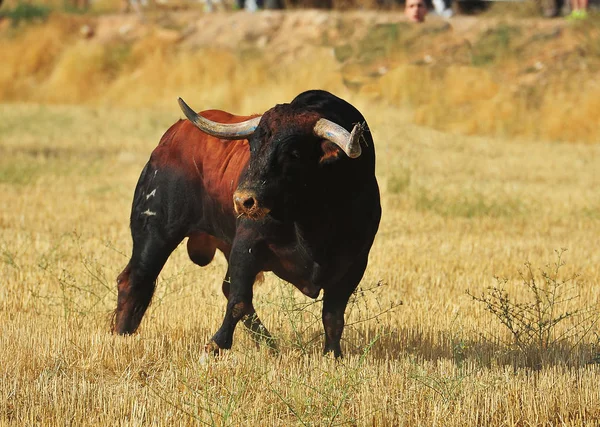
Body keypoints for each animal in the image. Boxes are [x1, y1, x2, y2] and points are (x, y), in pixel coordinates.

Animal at [113, 89, 380, 358]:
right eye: (253, 147)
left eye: (293, 154)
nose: (242, 201)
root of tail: (172, 136)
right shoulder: (246, 247)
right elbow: (238, 300)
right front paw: (215, 345)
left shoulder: (355, 264)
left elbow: (333, 315)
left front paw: (333, 354)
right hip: (154, 230)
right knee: (135, 278)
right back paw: (121, 334)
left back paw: (270, 344)